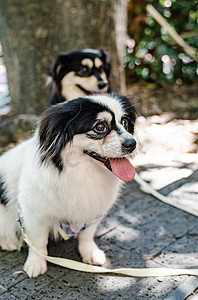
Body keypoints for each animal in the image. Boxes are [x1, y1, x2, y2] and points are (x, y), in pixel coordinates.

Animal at [0, 94, 136, 276]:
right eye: (100, 127)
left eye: (125, 122)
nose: (132, 143)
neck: (81, 174)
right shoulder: (32, 213)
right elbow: (38, 241)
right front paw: (36, 263)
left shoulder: (93, 212)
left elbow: (87, 235)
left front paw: (90, 253)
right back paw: (8, 242)